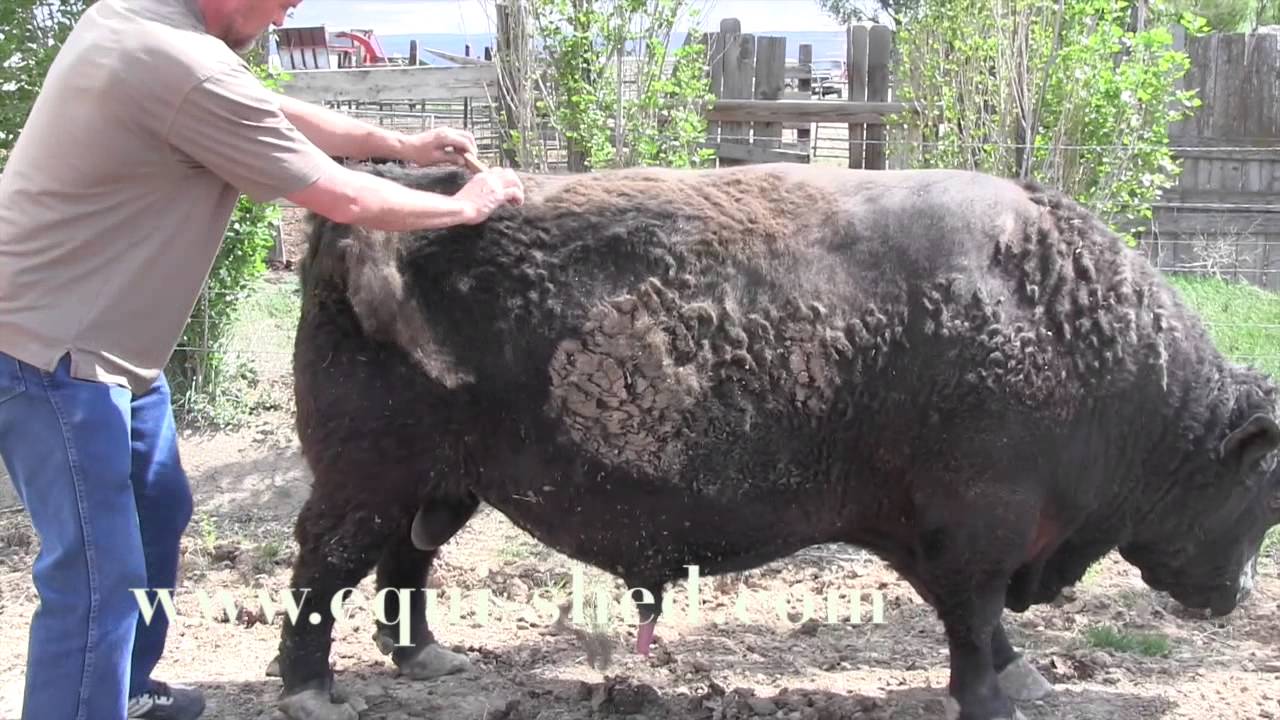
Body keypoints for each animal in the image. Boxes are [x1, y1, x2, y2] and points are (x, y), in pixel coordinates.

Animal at [270, 161, 1280, 720]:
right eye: (1261, 493)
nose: (1232, 598)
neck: (1065, 324)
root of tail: (361, 228)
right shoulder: (974, 533)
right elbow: (973, 617)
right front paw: (994, 699)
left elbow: (982, 622)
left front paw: (1022, 679)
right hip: (366, 482)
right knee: (326, 568)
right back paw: (311, 692)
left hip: (440, 486)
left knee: (405, 562)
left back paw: (429, 660)